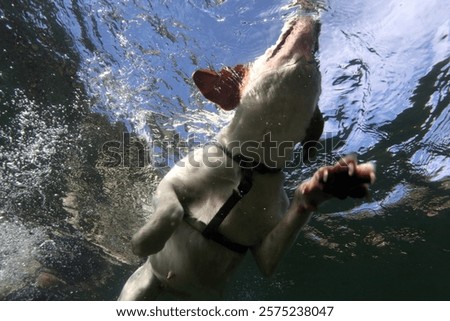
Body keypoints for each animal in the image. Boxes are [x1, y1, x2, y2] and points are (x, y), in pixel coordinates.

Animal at [118, 15, 374, 300]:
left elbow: (296, 212)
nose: (314, 21)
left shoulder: (265, 252)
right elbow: (172, 211)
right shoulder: (169, 184)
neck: (251, 166)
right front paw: (144, 242)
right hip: (136, 289)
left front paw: (323, 185)